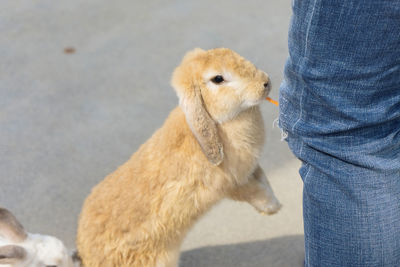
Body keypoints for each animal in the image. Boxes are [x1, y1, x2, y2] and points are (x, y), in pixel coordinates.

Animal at [76, 48, 282, 267]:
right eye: (218, 79)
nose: (266, 82)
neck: (218, 123)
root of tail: (86, 257)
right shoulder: (232, 184)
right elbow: (254, 192)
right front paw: (272, 208)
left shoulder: (252, 169)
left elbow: (263, 180)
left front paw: (275, 204)